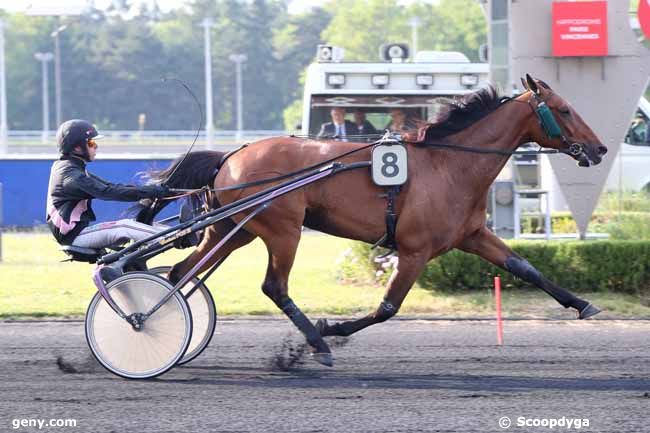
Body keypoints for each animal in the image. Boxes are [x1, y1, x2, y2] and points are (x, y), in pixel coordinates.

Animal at [138, 74, 608, 364]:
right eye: (565, 109)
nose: (600, 148)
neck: (448, 165)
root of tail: (231, 156)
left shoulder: (472, 234)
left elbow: (525, 267)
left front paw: (583, 304)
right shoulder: (415, 250)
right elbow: (387, 307)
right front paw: (331, 328)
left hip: (235, 229)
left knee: (180, 273)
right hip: (282, 230)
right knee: (273, 286)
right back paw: (315, 342)